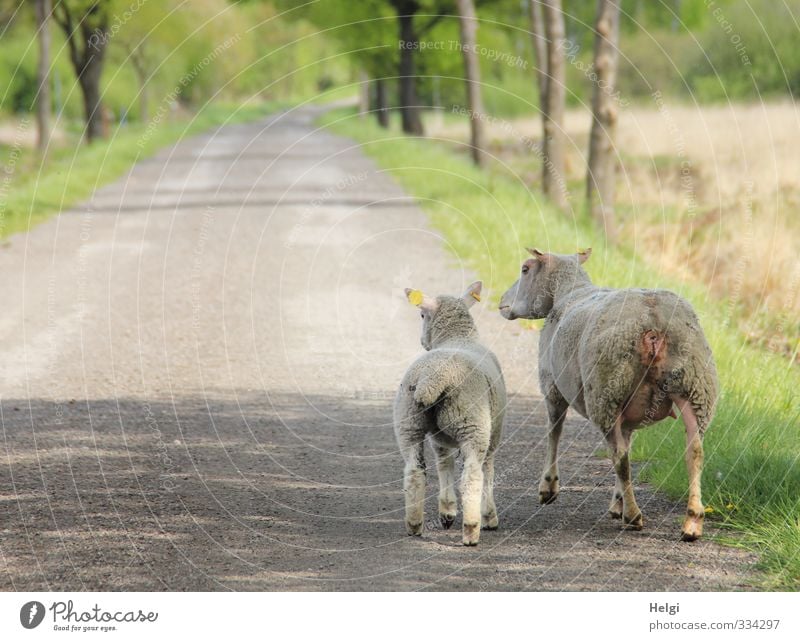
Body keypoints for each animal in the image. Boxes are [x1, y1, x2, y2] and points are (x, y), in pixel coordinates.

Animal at [394, 280, 506, 544]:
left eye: (421, 315)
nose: (422, 341)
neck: (458, 337)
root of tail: (432, 378)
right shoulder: (494, 430)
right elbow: (489, 469)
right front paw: (489, 517)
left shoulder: (439, 438)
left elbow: (444, 464)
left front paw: (447, 511)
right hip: (473, 423)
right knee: (473, 475)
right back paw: (472, 529)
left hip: (409, 420)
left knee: (414, 471)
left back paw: (414, 524)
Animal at [500, 246, 720, 540]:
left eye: (525, 269)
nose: (502, 303)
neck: (569, 292)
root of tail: (653, 323)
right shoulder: (630, 414)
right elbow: (628, 440)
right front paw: (618, 500)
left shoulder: (552, 386)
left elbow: (554, 432)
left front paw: (548, 487)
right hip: (693, 387)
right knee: (694, 452)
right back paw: (692, 521)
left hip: (606, 391)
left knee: (620, 458)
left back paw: (634, 516)